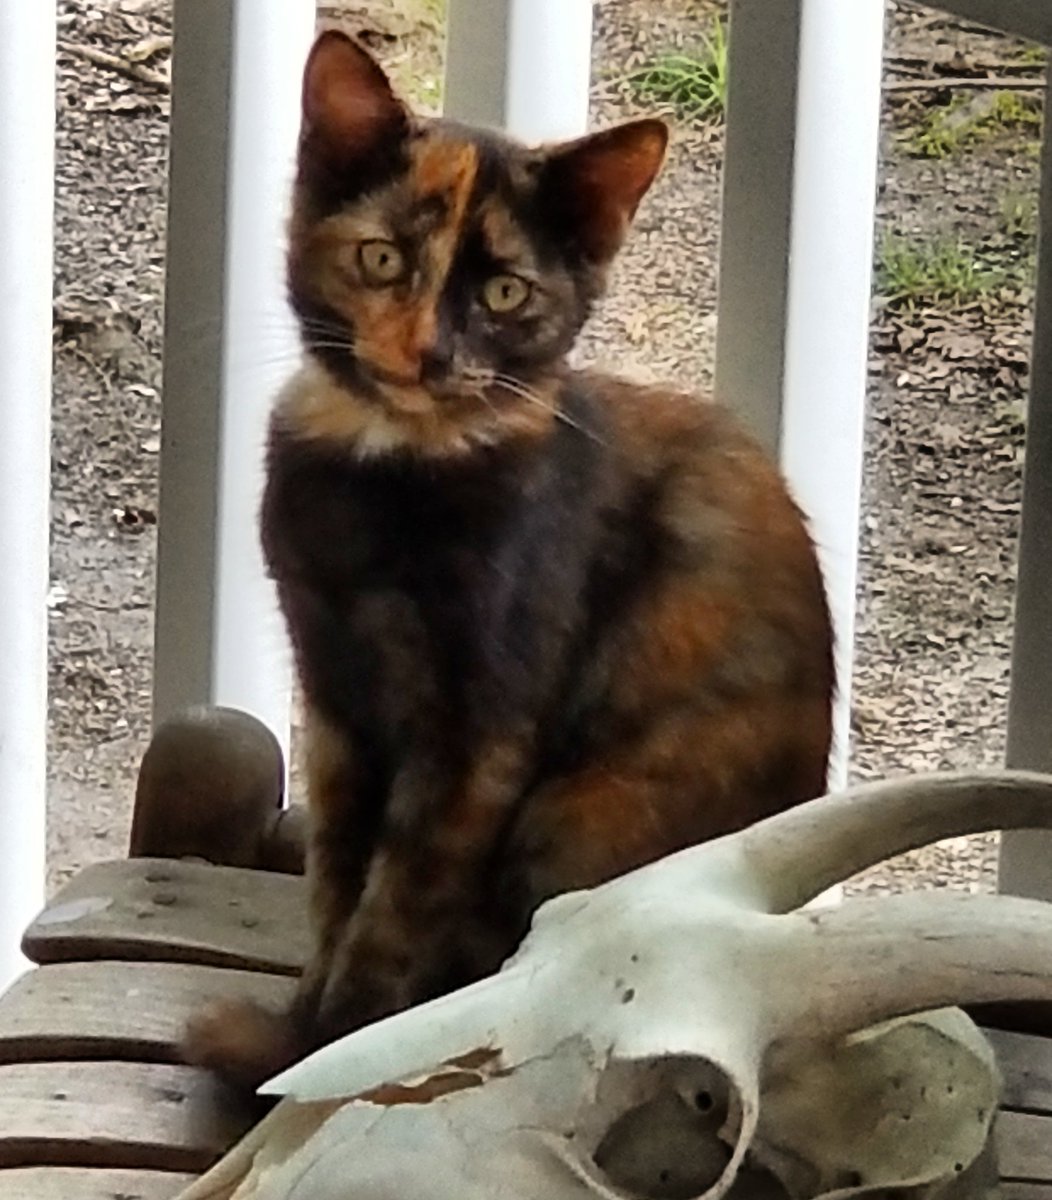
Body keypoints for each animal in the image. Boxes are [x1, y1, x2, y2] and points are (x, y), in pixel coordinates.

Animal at [184, 29, 835, 1089]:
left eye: (503, 292)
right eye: (382, 259)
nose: (429, 352)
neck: (391, 473)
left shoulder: (475, 733)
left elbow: (395, 907)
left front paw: (324, 1053)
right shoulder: (336, 703)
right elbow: (336, 882)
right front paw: (301, 1022)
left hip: (579, 815)